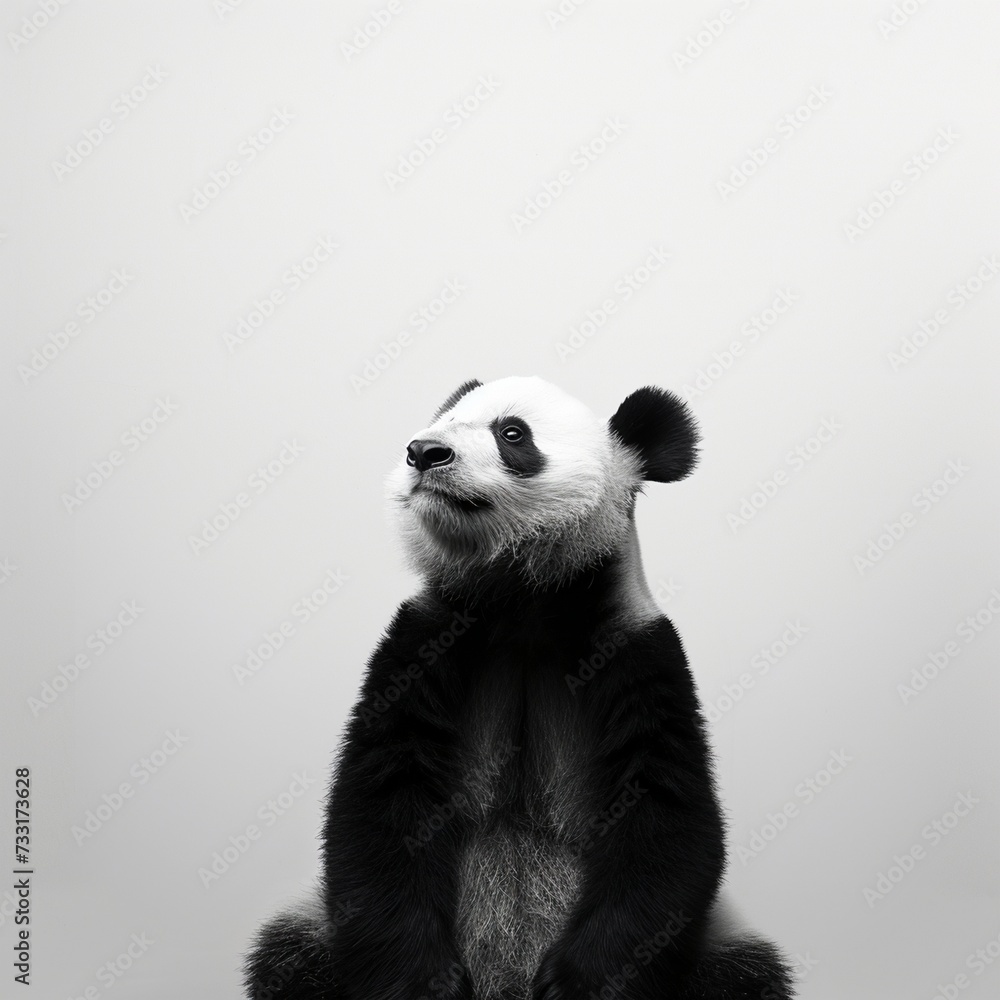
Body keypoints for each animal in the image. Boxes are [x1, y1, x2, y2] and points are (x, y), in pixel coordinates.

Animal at [244, 376, 794, 1000]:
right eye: (447, 419)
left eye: (512, 433)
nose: (424, 452)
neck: (521, 595)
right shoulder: (422, 643)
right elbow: (380, 802)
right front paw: (425, 983)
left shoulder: (637, 655)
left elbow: (665, 819)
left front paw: (575, 986)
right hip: (316, 931)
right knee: (289, 955)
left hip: (714, 945)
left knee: (743, 970)